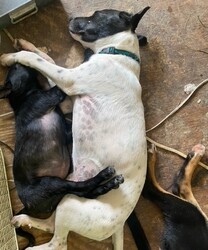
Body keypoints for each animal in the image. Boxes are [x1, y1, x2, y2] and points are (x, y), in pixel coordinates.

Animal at [0, 63, 123, 216]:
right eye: (15, 69)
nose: (16, 63)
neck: (24, 97)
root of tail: (27, 208)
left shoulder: (66, 132)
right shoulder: (52, 95)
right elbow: (62, 82)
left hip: (60, 187)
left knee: (84, 192)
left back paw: (108, 185)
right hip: (50, 183)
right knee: (81, 186)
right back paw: (105, 175)